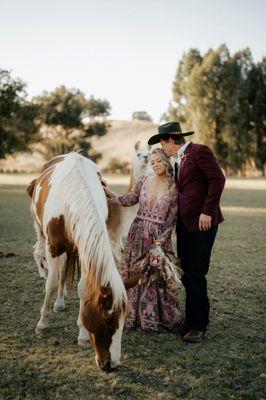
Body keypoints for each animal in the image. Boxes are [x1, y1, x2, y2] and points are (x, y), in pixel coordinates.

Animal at [27, 152, 130, 372]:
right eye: (107, 317)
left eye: (124, 318)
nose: (112, 364)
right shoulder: (53, 248)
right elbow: (51, 283)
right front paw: (42, 324)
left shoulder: (84, 247)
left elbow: (83, 289)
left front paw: (82, 335)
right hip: (43, 235)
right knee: (54, 271)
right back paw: (58, 302)